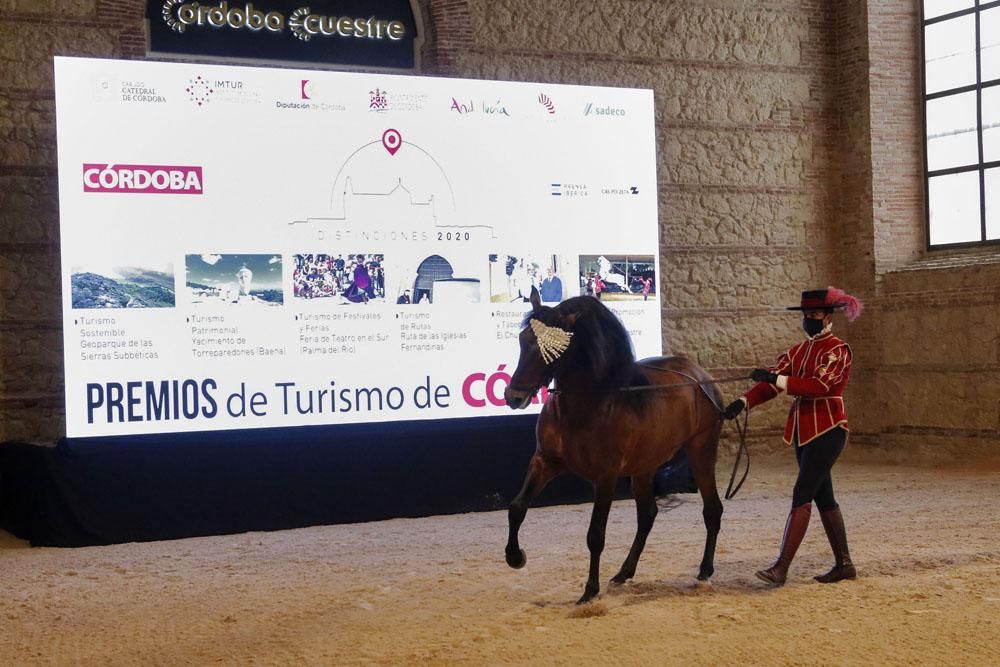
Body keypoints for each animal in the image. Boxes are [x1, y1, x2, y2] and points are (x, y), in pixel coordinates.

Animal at [504, 288, 724, 604]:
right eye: (523, 339)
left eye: (553, 348)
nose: (514, 396)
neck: (588, 405)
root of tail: (701, 377)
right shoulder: (544, 462)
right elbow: (517, 507)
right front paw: (515, 557)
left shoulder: (605, 477)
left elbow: (595, 535)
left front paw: (589, 591)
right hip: (645, 466)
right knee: (647, 515)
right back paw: (623, 573)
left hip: (701, 453)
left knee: (712, 510)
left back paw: (705, 571)